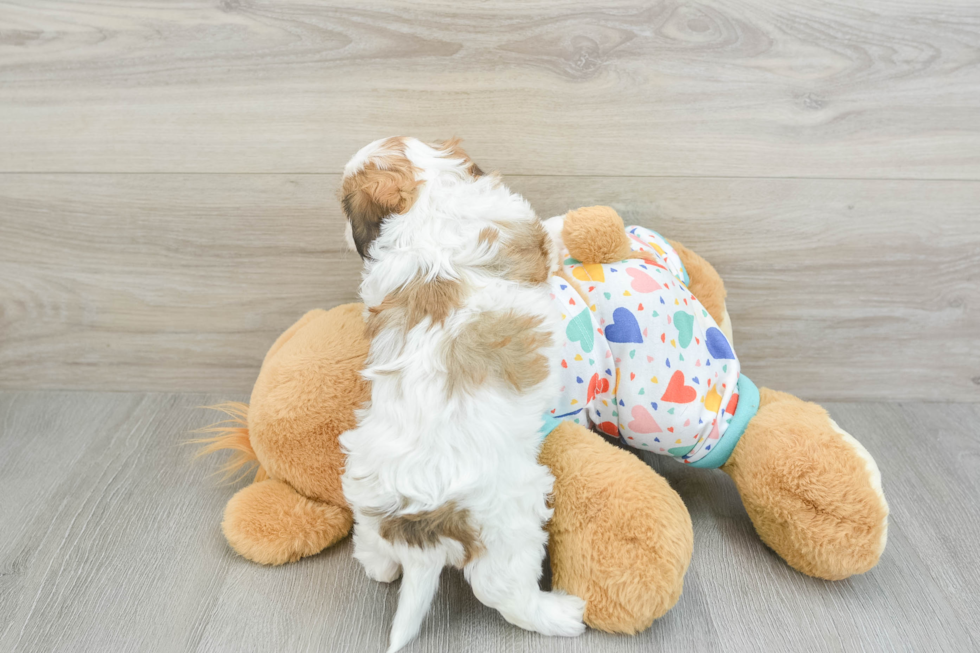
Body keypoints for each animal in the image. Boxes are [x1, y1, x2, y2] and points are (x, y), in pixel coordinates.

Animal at [338, 135, 580, 648]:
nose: (347, 237)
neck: (426, 197)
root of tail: (419, 531)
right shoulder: (524, 234)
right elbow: (551, 242)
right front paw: (570, 222)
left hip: (362, 484)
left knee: (370, 544)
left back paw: (382, 567)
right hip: (511, 517)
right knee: (503, 591)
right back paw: (559, 614)